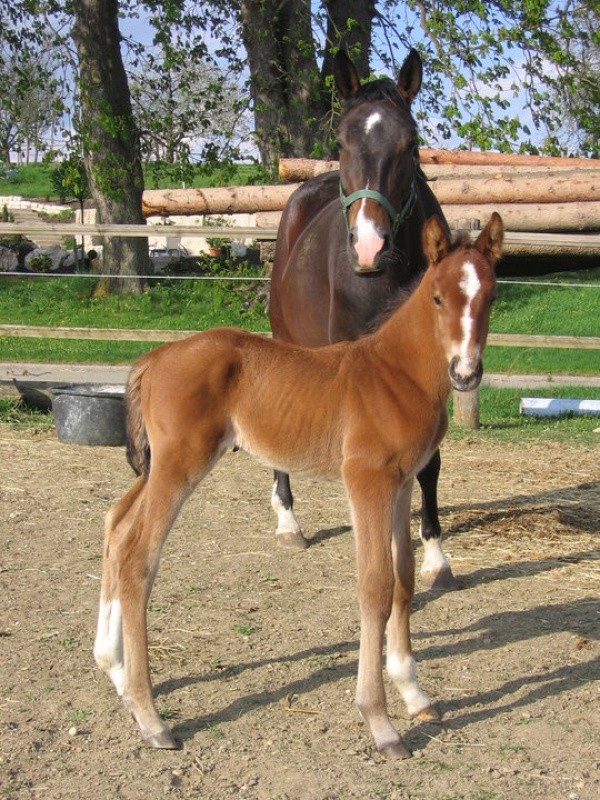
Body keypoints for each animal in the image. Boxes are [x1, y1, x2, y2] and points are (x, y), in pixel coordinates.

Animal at [94, 212, 504, 756]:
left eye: (490, 297)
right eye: (437, 297)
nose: (465, 372)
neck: (396, 374)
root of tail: (153, 359)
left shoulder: (400, 485)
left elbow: (404, 580)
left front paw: (414, 693)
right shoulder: (367, 480)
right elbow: (375, 585)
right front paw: (380, 721)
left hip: (160, 465)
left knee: (116, 527)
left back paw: (114, 671)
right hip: (180, 464)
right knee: (139, 555)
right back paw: (150, 717)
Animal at [268, 48, 454, 588]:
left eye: (411, 142)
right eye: (340, 140)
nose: (370, 246)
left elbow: (428, 462)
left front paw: (435, 555)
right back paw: (288, 520)